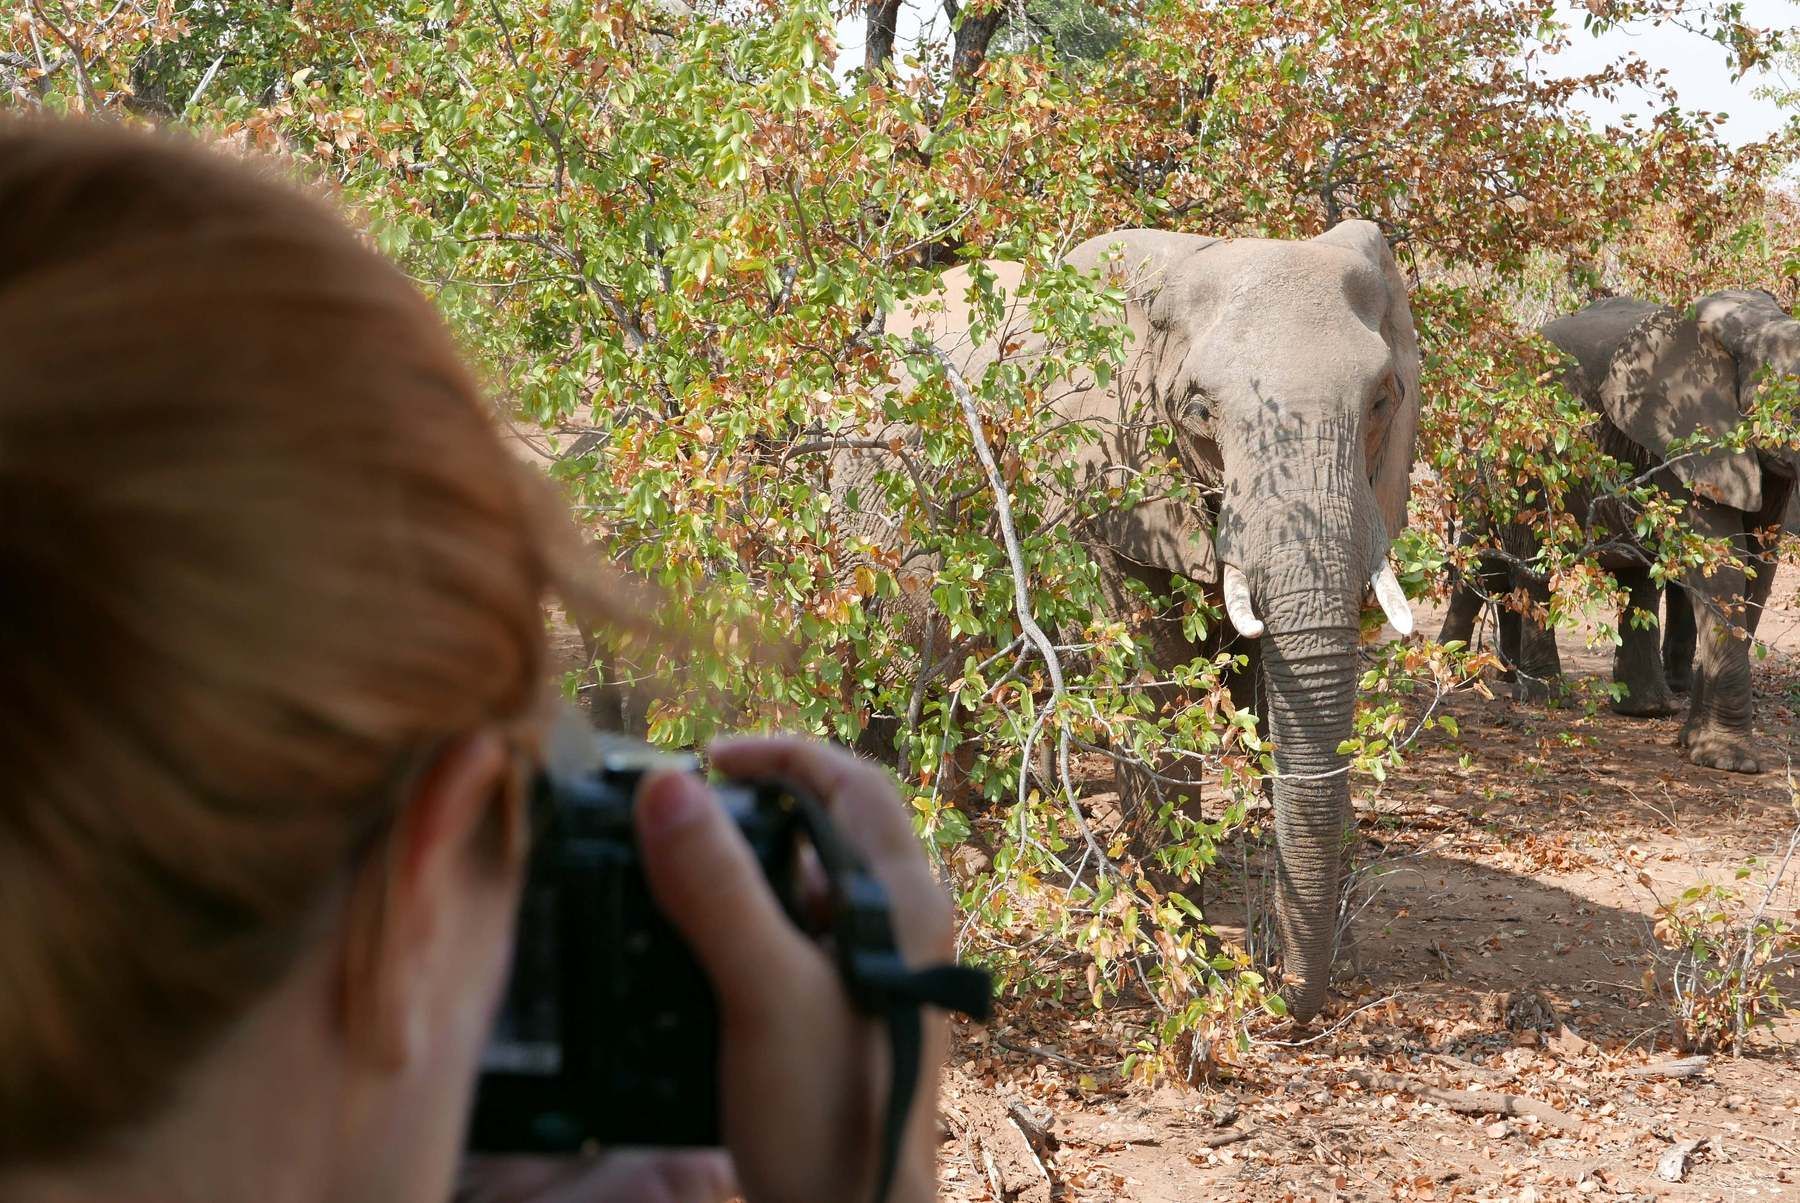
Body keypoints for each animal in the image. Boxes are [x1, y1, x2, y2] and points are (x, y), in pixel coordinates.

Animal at [842, 220, 1418, 1022]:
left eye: (1383, 400)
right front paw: (1184, 966)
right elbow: (1154, 682)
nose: (1283, 997)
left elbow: (1261, 691)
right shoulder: (1094, 474)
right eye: (1200, 410)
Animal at [1440, 293, 1792, 770]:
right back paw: (1528, 695)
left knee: (1623, 577)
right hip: (1516, 458)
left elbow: (1758, 564)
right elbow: (1721, 561)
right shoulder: (1684, 434)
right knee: (1515, 564)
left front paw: (1693, 743)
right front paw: (1728, 761)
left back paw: (1643, 709)